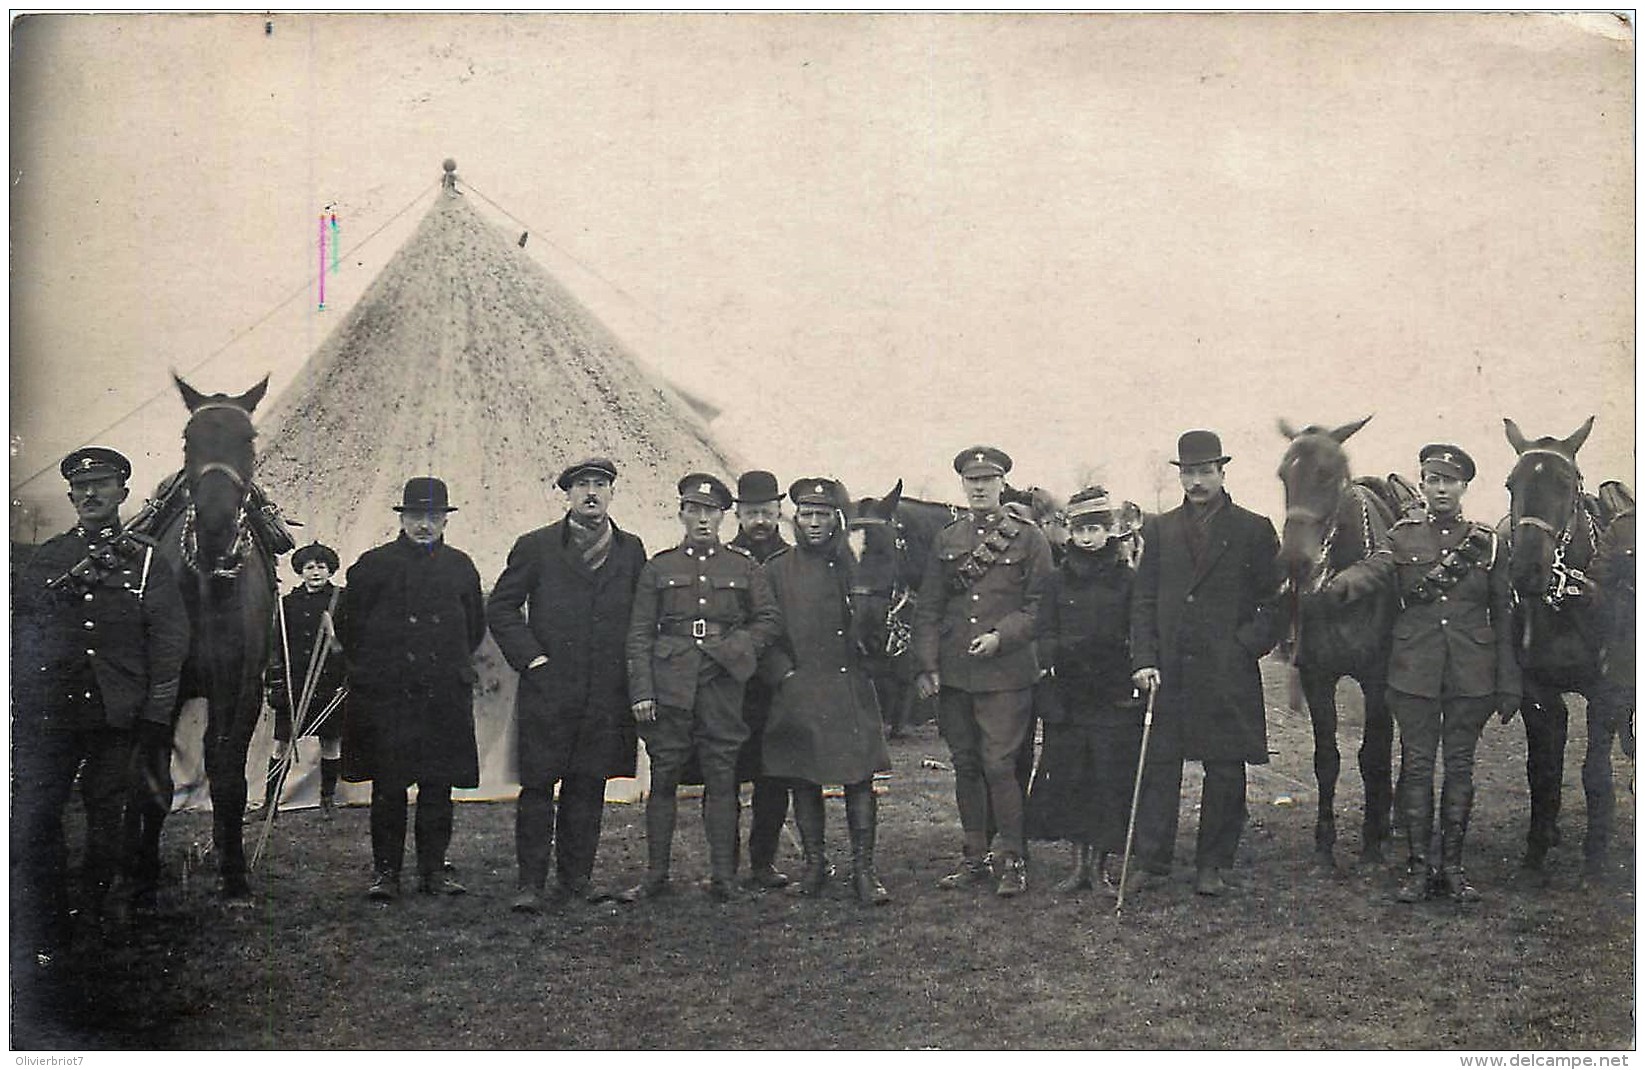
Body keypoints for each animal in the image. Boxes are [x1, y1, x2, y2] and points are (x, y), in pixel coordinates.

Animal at [130, 375, 276, 902]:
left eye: (248, 439)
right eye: (188, 439)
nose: (214, 524)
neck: (208, 584)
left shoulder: (240, 689)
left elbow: (227, 772)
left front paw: (233, 871)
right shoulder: (162, 689)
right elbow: (152, 782)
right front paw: (144, 876)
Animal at [1269, 413, 1401, 862]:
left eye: (1327, 474)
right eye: (1284, 475)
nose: (1294, 561)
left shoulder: (1376, 680)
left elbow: (1372, 754)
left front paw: (1372, 841)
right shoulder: (1317, 677)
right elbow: (1327, 758)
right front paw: (1325, 843)